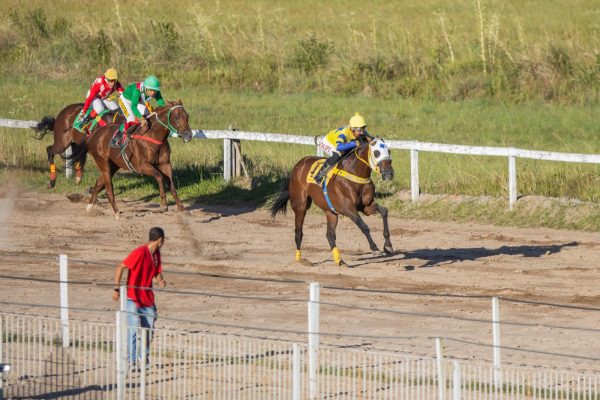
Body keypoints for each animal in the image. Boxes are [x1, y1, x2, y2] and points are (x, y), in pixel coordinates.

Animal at [270, 139, 394, 268]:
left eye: (389, 151)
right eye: (376, 153)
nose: (389, 173)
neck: (355, 174)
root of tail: (298, 165)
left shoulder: (365, 207)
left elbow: (384, 211)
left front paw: (388, 245)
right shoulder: (348, 209)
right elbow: (364, 226)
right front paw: (375, 248)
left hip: (331, 212)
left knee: (330, 235)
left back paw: (340, 261)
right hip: (301, 206)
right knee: (298, 233)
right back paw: (300, 260)